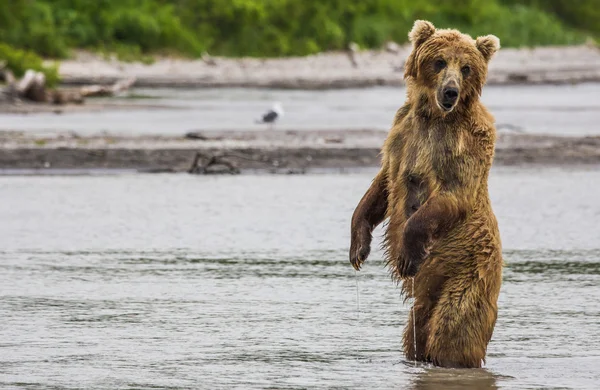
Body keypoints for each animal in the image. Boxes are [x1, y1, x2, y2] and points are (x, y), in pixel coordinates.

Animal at [350, 20, 504, 368]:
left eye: (466, 67)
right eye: (439, 61)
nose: (451, 91)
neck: (435, 116)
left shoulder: (465, 144)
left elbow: (453, 193)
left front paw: (408, 254)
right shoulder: (403, 133)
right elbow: (383, 184)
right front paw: (358, 247)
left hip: (468, 272)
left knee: (453, 330)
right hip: (424, 302)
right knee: (415, 334)